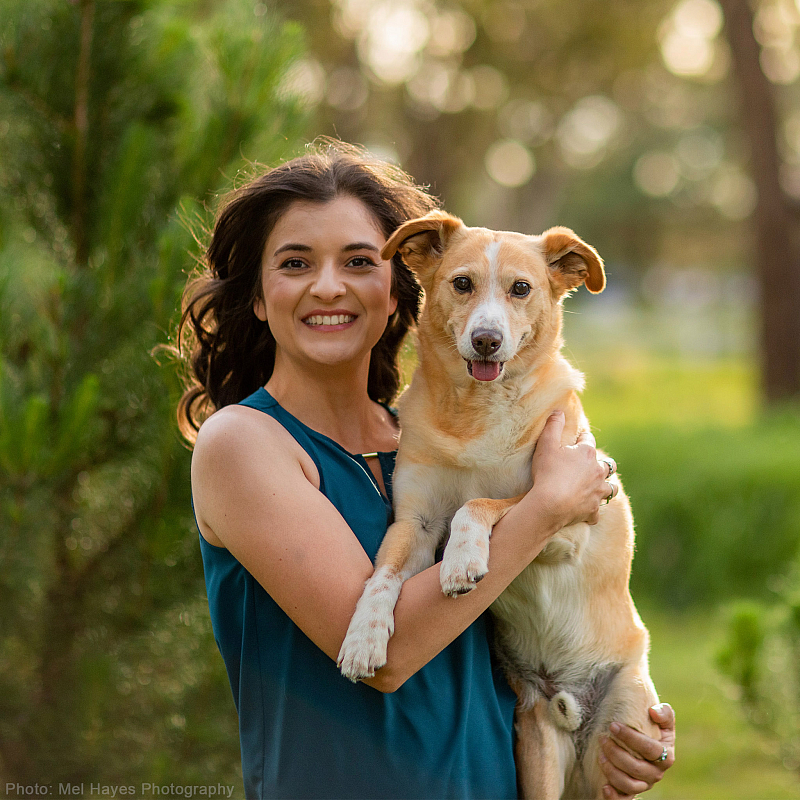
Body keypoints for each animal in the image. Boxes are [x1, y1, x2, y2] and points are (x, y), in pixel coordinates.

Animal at [336, 209, 656, 796]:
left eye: (521, 289)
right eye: (462, 283)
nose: (486, 341)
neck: (475, 414)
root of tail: (572, 706)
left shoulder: (565, 517)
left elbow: (482, 503)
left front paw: (463, 558)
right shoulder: (415, 523)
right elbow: (382, 577)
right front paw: (364, 637)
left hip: (625, 724)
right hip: (537, 746)